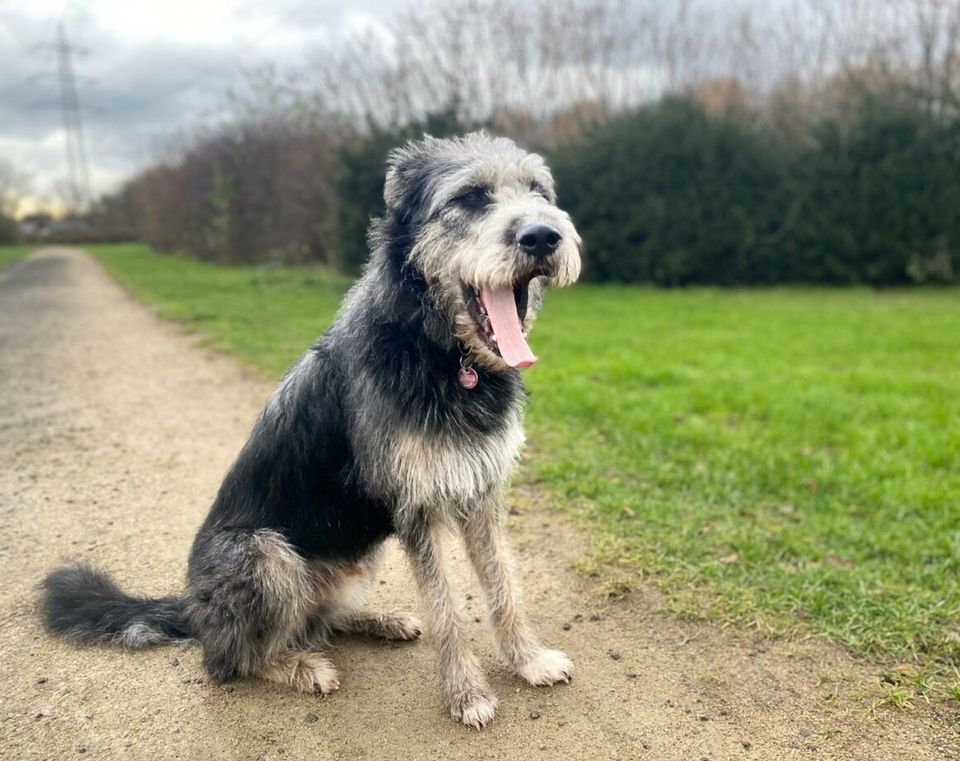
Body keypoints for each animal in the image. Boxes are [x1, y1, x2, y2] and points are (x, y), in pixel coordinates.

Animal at [43, 134, 584, 728]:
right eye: (469, 197)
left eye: (539, 192)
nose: (544, 236)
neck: (440, 355)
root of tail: (191, 608)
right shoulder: (417, 507)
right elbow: (446, 609)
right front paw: (466, 694)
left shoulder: (482, 493)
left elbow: (504, 585)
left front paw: (528, 660)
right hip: (265, 556)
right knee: (233, 660)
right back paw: (300, 667)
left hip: (357, 560)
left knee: (318, 620)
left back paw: (378, 622)